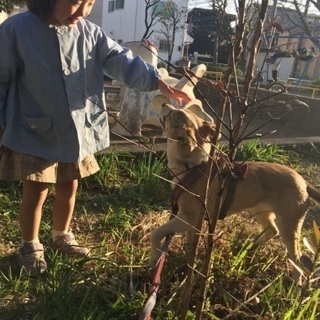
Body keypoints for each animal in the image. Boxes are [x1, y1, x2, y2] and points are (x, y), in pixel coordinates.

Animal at [150, 102, 320, 282]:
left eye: (171, 115)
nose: (164, 103)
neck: (194, 167)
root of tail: (304, 182)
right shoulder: (192, 223)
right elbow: (189, 245)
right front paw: (186, 263)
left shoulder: (187, 217)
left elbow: (156, 233)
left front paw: (154, 259)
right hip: (259, 210)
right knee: (272, 230)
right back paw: (249, 245)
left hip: (288, 225)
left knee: (297, 258)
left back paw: (295, 283)